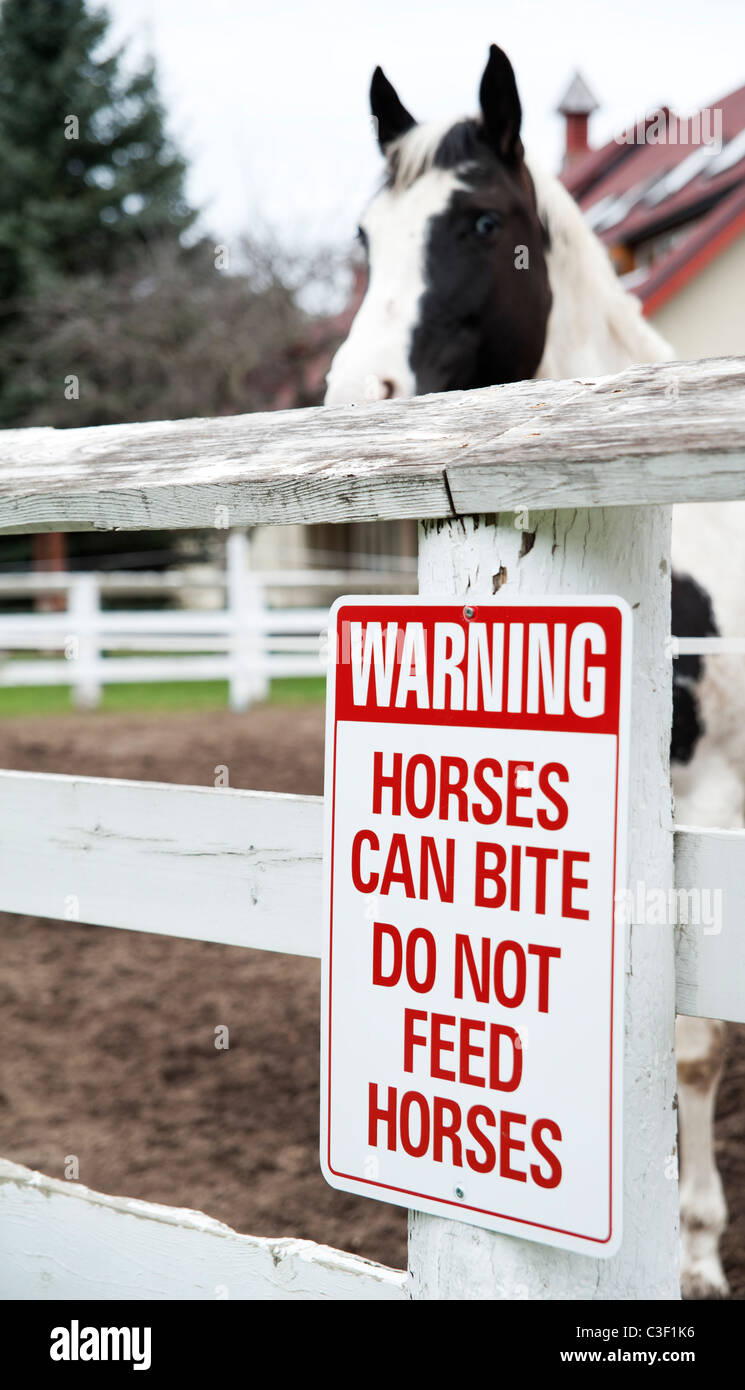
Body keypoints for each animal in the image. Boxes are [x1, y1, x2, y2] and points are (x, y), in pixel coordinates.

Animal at [325, 46, 739, 1301]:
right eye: (366, 235)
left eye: (479, 221)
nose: (354, 403)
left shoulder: (705, 800)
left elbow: (693, 1048)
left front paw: (696, 1245)